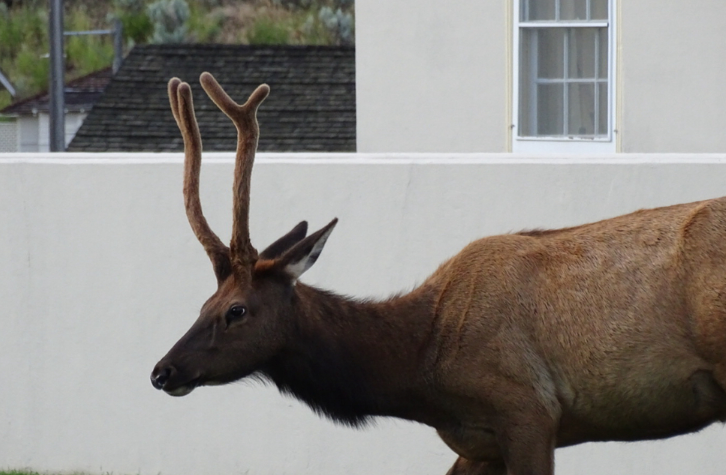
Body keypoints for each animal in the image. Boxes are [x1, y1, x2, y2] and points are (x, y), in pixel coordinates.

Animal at [150, 72, 726, 475]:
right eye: (202, 304)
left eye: (236, 310)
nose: (162, 371)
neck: (422, 370)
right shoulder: (480, 441)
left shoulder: (528, 408)